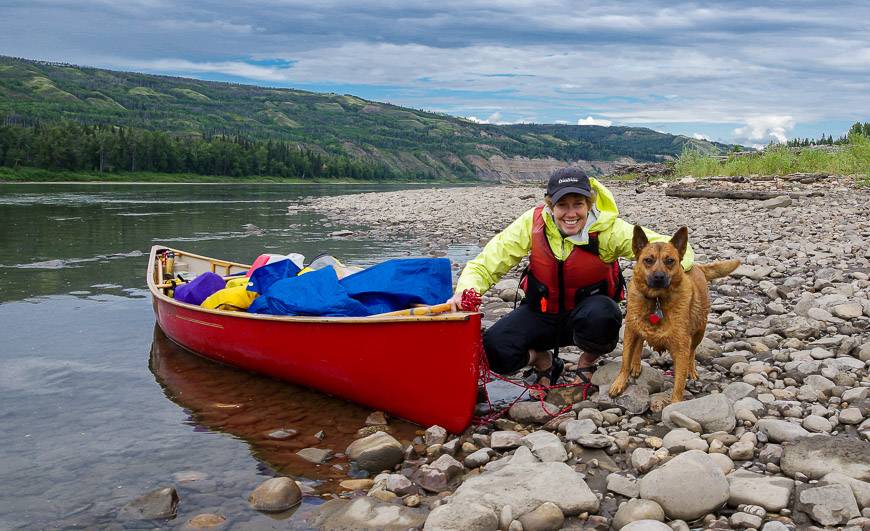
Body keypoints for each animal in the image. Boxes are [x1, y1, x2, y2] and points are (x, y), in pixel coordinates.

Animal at [608, 225, 744, 404]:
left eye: (670, 261)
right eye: (648, 260)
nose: (659, 277)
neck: (657, 299)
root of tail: (697, 267)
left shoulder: (681, 349)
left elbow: (679, 383)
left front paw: (675, 405)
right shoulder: (630, 331)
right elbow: (625, 361)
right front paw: (619, 382)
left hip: (699, 331)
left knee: (692, 352)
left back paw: (691, 370)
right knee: (639, 343)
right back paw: (636, 364)